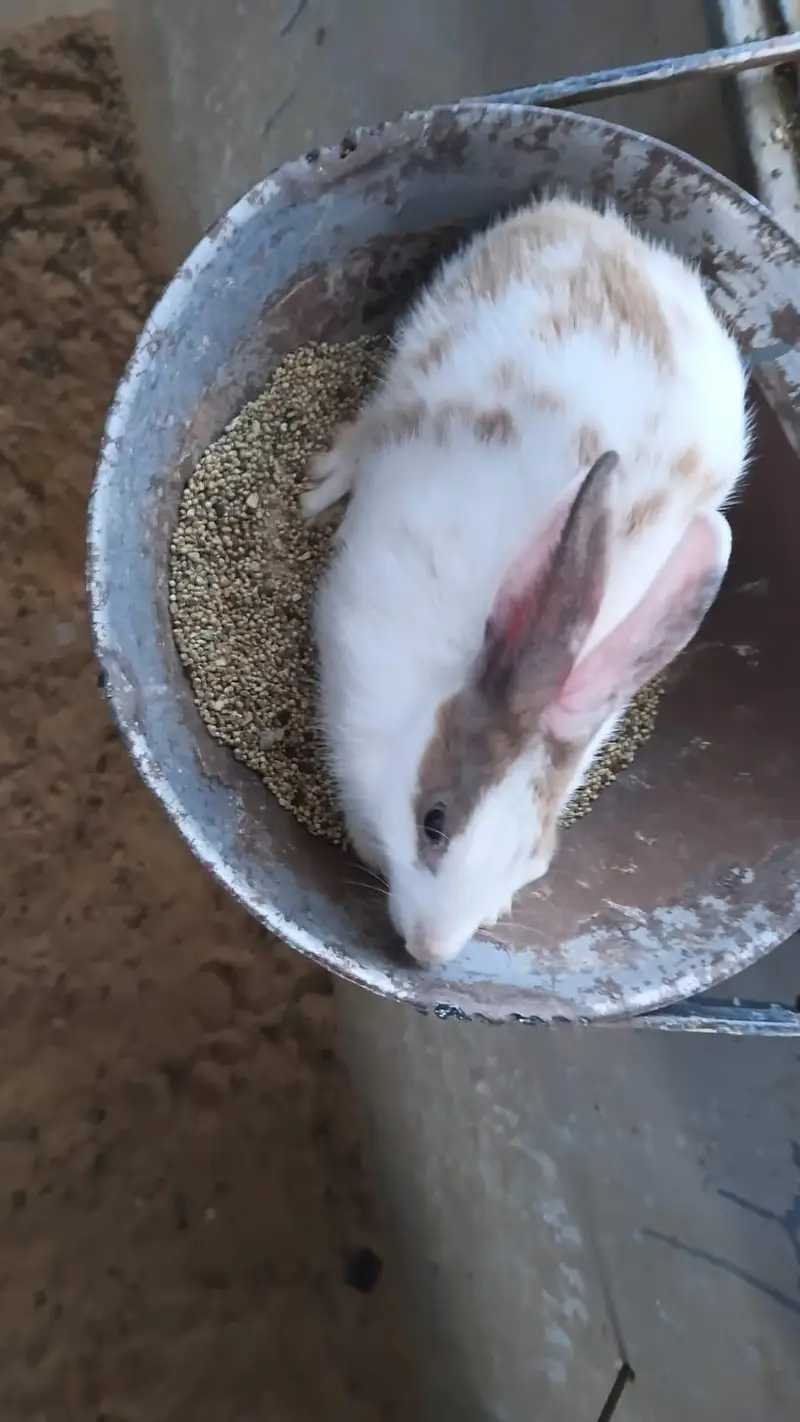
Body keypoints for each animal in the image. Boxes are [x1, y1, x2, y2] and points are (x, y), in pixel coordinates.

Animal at [302, 195, 749, 967]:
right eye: (434, 823)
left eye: (530, 865)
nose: (431, 951)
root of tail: (582, 219)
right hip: (416, 369)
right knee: (371, 427)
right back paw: (320, 487)